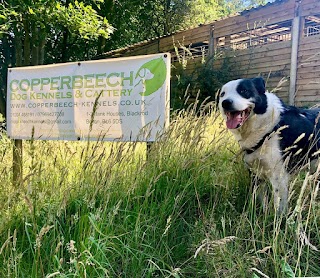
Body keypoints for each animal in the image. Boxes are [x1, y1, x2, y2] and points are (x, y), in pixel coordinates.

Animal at [219, 77, 320, 214]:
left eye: (244, 91)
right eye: (222, 94)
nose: (225, 103)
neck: (269, 128)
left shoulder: (279, 177)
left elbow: (279, 208)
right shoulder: (256, 174)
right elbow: (262, 202)